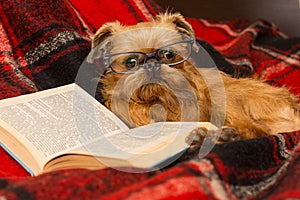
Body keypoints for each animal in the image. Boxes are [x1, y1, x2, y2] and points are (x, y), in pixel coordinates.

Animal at [86, 12, 300, 147]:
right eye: (130, 62)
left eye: (168, 55)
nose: (152, 65)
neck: (156, 100)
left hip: (222, 93)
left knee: (254, 130)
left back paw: (217, 137)